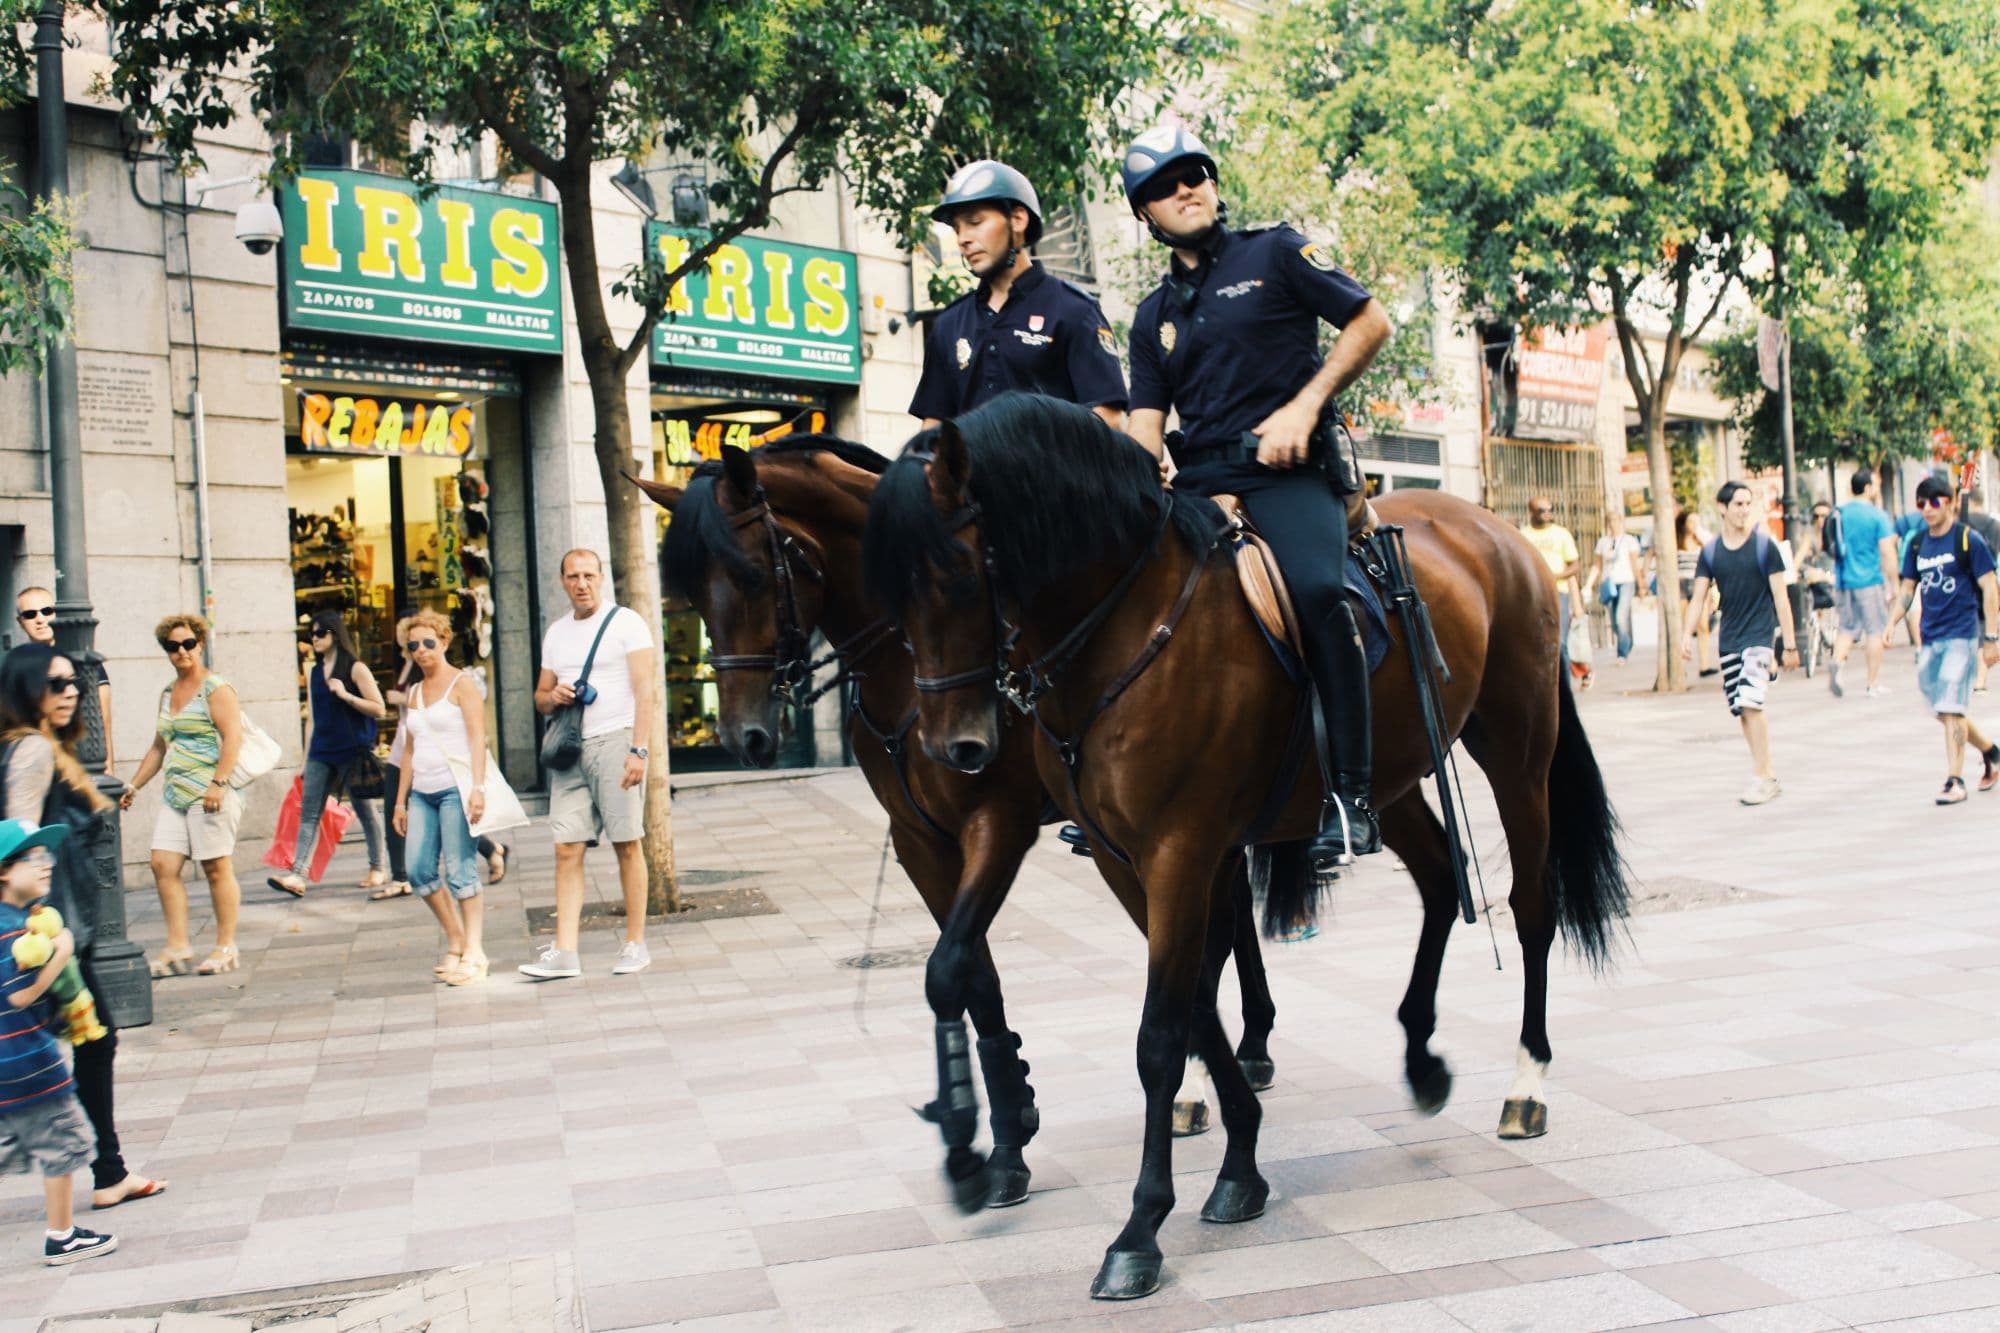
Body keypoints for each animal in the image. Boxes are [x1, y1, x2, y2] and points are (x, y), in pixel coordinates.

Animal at [632, 440, 1280, 1208]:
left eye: (755, 574)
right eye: (693, 593)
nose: (745, 737)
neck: (909, 663)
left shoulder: (997, 823)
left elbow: (950, 966)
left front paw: (981, 1131)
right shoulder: (920, 841)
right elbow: (975, 977)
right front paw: (1009, 1127)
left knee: (1219, 928)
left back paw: (1228, 1069)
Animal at [864, 390, 1624, 1288]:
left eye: (958, 575)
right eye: (889, 596)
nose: (957, 747)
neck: (1125, 626)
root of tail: (1497, 528)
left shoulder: (1178, 848)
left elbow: (1161, 1034)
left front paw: (1140, 1228)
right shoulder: (1122, 856)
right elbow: (1191, 1003)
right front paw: (1237, 1163)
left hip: (1517, 743)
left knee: (1531, 904)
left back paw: (1527, 1081)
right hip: (1393, 776)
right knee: (1442, 878)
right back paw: (1421, 1058)